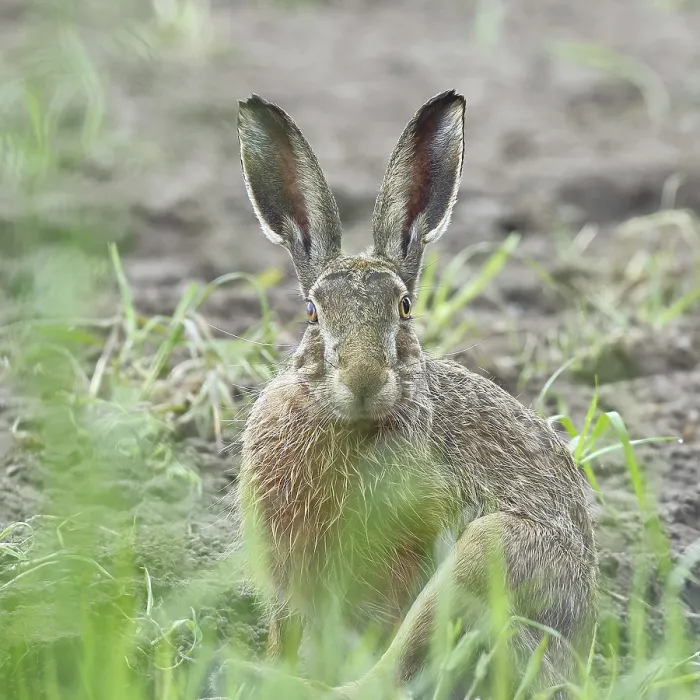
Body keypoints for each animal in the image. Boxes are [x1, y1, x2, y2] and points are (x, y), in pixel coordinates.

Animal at [233, 90, 598, 698]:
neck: (351, 423)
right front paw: (272, 665)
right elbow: (284, 631)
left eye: (403, 309)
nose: (363, 379)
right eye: (312, 313)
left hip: (489, 552)